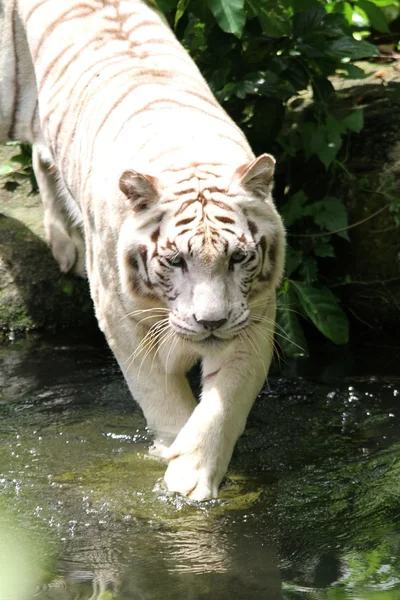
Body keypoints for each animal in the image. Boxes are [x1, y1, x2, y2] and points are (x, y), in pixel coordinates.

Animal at [0, 0, 284, 502]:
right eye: (175, 261)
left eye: (237, 258)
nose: (210, 323)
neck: (188, 155)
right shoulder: (119, 318)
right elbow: (160, 397)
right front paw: (171, 457)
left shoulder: (253, 318)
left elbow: (223, 402)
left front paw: (192, 476)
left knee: (39, 153)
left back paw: (64, 243)